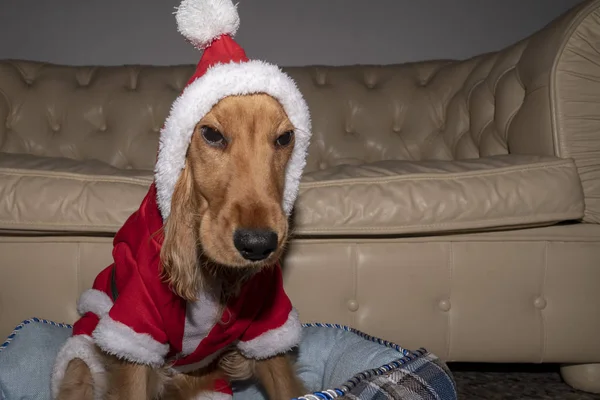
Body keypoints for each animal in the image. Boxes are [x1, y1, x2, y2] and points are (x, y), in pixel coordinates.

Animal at [54, 93, 308, 400]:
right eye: (211, 134)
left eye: (285, 138)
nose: (258, 245)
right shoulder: (136, 326)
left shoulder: (267, 326)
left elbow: (282, 379)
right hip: (82, 358)